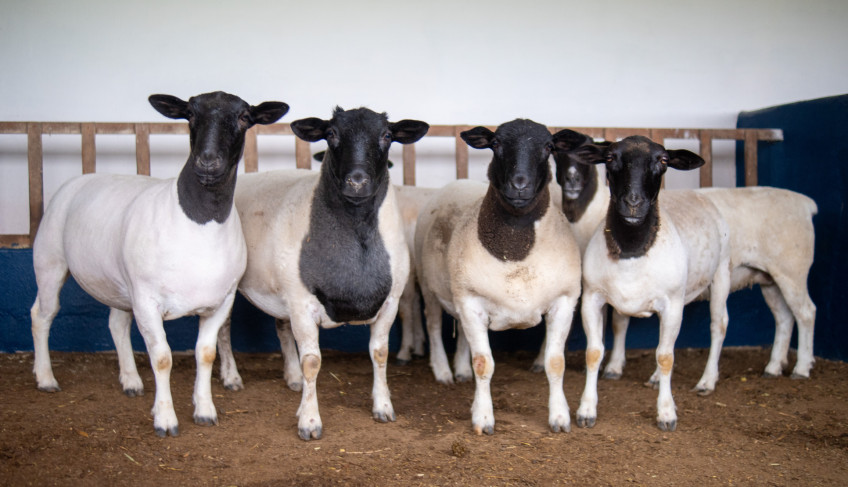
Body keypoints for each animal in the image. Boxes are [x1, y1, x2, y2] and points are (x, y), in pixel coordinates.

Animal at [29, 91, 290, 438]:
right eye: (189, 114)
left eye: (245, 117)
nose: (208, 162)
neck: (198, 222)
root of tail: (81, 178)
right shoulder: (147, 301)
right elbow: (163, 358)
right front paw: (165, 420)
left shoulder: (220, 301)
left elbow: (205, 354)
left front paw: (204, 410)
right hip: (50, 261)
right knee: (42, 315)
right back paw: (46, 378)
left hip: (119, 285)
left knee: (116, 324)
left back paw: (131, 381)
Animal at [215, 107, 428, 442]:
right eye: (331, 134)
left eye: (387, 136)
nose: (357, 181)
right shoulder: (302, 304)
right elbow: (312, 362)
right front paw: (310, 422)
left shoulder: (389, 303)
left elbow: (380, 354)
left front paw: (383, 407)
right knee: (223, 329)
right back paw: (231, 377)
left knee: (280, 327)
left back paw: (292, 378)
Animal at [572, 133, 732, 430]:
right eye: (610, 157)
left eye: (664, 160)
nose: (633, 202)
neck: (633, 248)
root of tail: (694, 192)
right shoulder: (592, 298)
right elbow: (594, 352)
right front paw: (586, 410)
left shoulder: (672, 302)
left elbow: (666, 356)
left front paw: (666, 414)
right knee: (628, 325)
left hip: (721, 273)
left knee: (718, 325)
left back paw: (706, 381)